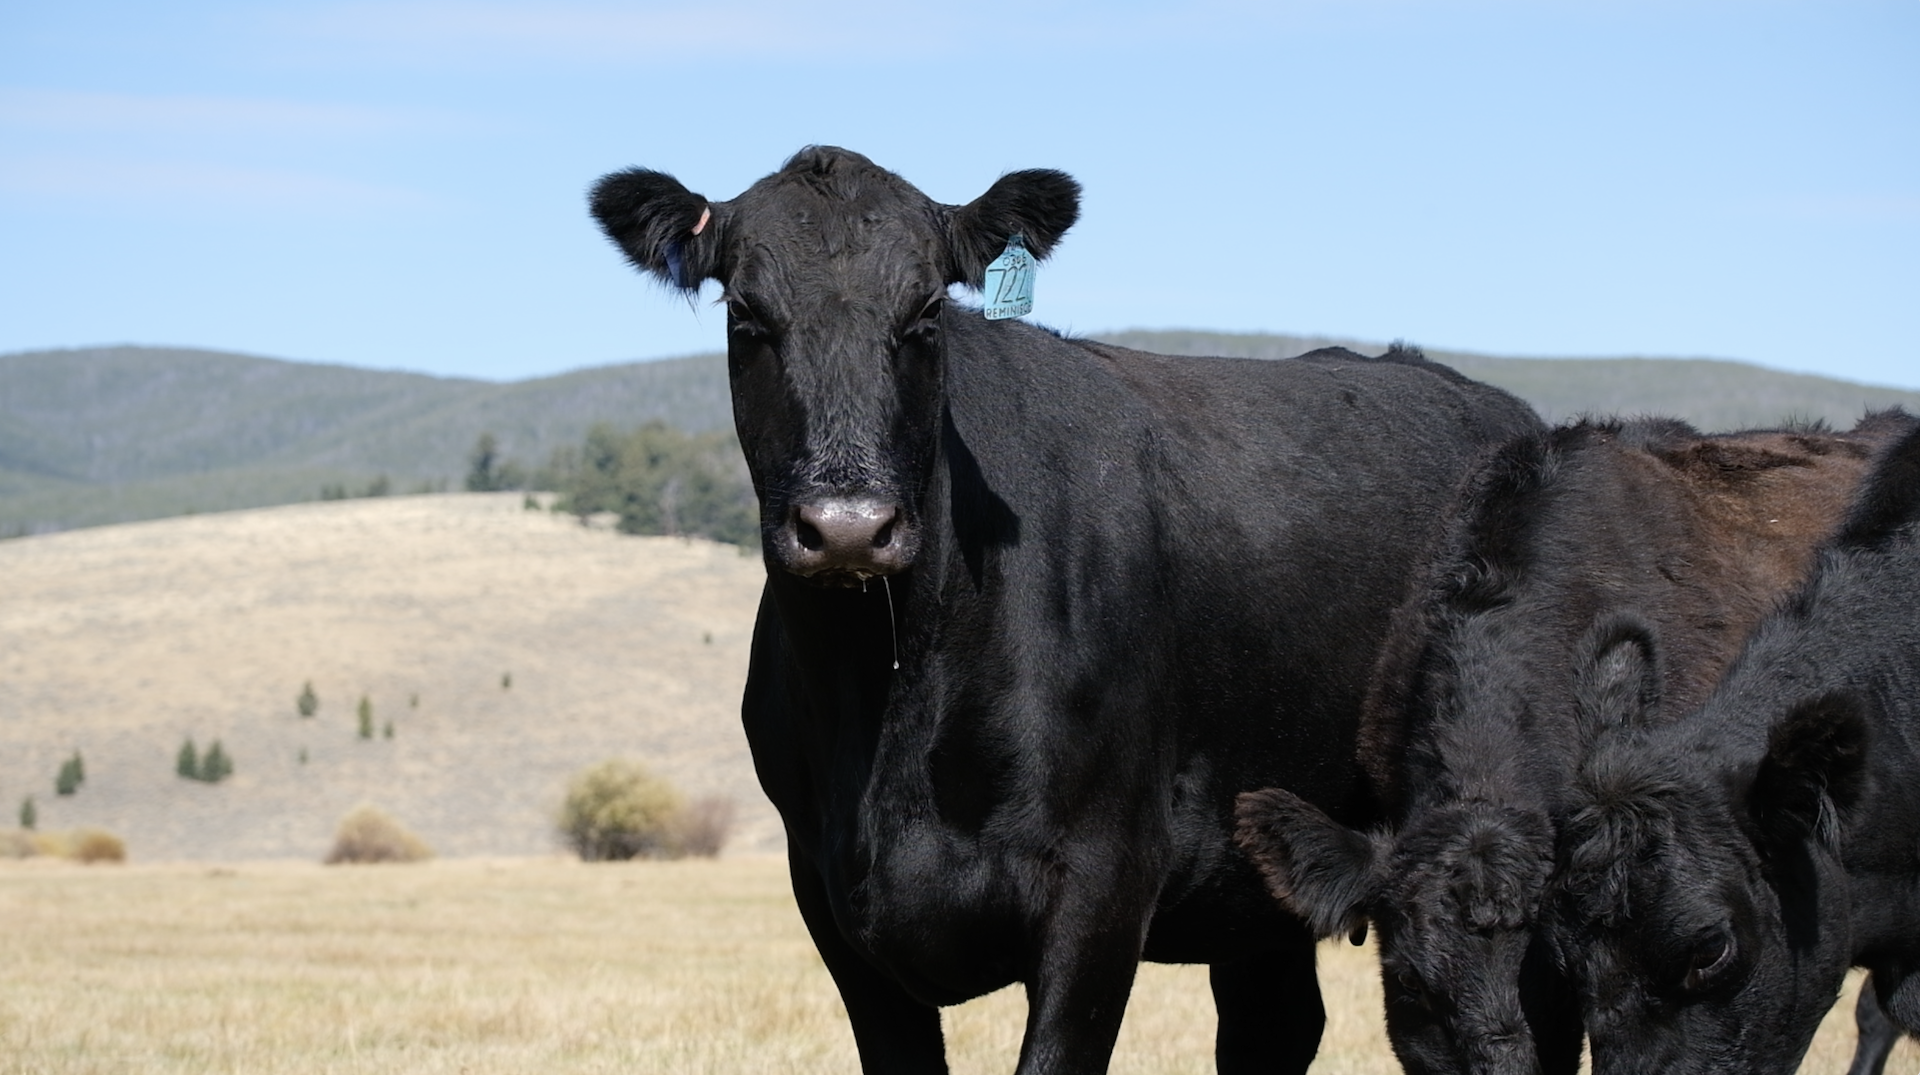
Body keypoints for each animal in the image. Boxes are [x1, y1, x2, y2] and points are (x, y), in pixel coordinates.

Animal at [588, 145, 1542, 1075]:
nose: (849, 525)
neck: (889, 696)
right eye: (746, 315)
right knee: (1274, 1025)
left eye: (926, 313)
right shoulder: (829, 899)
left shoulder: (1104, 879)